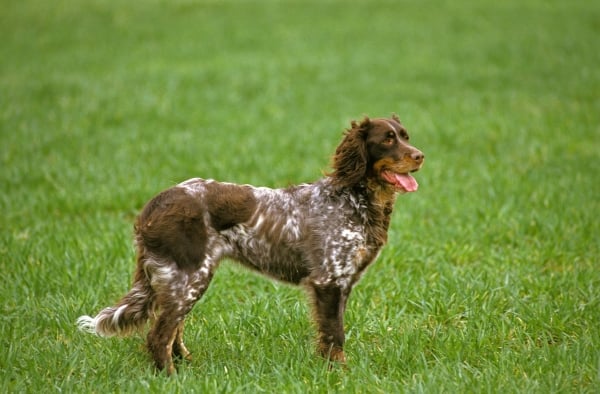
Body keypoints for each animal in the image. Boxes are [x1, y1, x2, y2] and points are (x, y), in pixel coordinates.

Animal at [77, 114, 424, 376]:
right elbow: (334, 334)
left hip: (182, 281)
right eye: (387, 140)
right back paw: (171, 376)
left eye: (405, 136)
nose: (420, 155)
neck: (354, 199)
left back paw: (188, 366)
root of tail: (154, 206)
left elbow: (330, 334)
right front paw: (338, 373)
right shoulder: (329, 281)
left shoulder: (341, 283)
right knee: (159, 334)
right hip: (189, 276)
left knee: (173, 329)